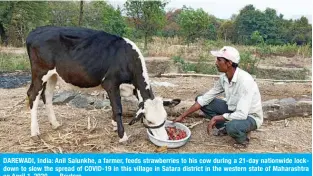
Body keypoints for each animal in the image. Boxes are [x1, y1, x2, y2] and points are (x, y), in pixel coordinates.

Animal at [25, 25, 179, 142]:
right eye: (149, 121)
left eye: (165, 117)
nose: (165, 139)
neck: (127, 59)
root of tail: (35, 31)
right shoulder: (110, 83)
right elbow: (118, 109)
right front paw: (122, 136)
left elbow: (114, 106)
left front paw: (115, 126)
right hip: (40, 72)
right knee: (33, 95)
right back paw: (34, 131)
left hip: (53, 75)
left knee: (47, 96)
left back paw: (55, 124)